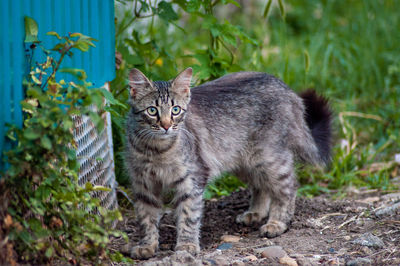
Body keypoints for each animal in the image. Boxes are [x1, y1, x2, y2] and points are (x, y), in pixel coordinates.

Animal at [125, 67, 332, 258]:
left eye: (175, 110)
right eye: (152, 110)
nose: (166, 126)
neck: (154, 150)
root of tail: (285, 88)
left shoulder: (192, 180)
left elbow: (188, 217)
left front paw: (186, 246)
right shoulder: (143, 186)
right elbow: (147, 219)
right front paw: (147, 246)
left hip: (269, 158)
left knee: (288, 187)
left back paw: (277, 223)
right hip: (245, 162)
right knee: (262, 186)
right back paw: (255, 213)